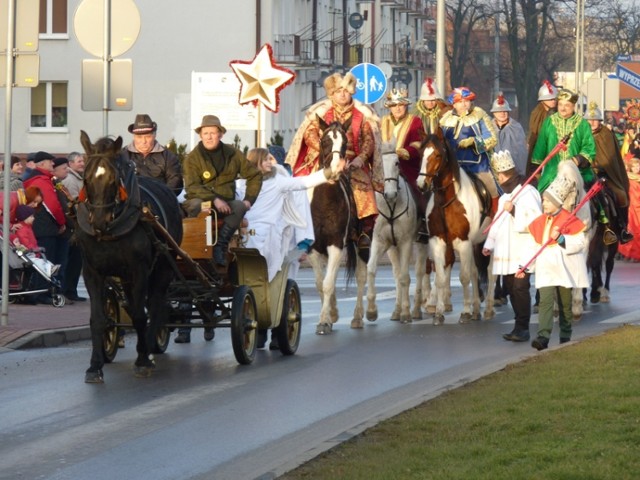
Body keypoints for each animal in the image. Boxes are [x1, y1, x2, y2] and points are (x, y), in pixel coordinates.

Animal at [77, 130, 184, 382]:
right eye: (86, 179)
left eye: (114, 180)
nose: (99, 222)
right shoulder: (92, 272)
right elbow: (98, 318)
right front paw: (95, 366)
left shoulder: (140, 270)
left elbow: (139, 315)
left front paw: (143, 360)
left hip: (163, 267)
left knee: (155, 305)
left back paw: (150, 348)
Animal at [364, 150, 430, 322]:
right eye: (377, 163)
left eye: (397, 163)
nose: (390, 193)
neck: (391, 205)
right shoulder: (380, 242)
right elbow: (371, 269)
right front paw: (371, 310)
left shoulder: (406, 242)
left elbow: (405, 276)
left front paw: (406, 312)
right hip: (392, 248)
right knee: (396, 272)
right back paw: (397, 310)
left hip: (421, 242)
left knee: (420, 271)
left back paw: (416, 309)